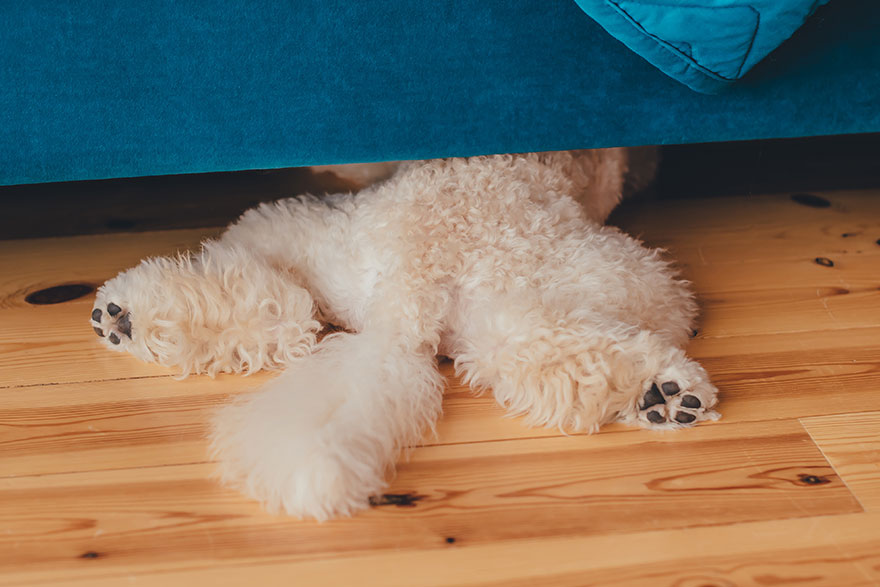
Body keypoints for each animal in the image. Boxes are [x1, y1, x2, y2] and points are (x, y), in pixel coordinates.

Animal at [93, 150, 720, 520]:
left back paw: (132, 319)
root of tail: (409, 293)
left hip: (304, 236)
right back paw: (665, 392)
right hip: (610, 285)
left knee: (288, 310)